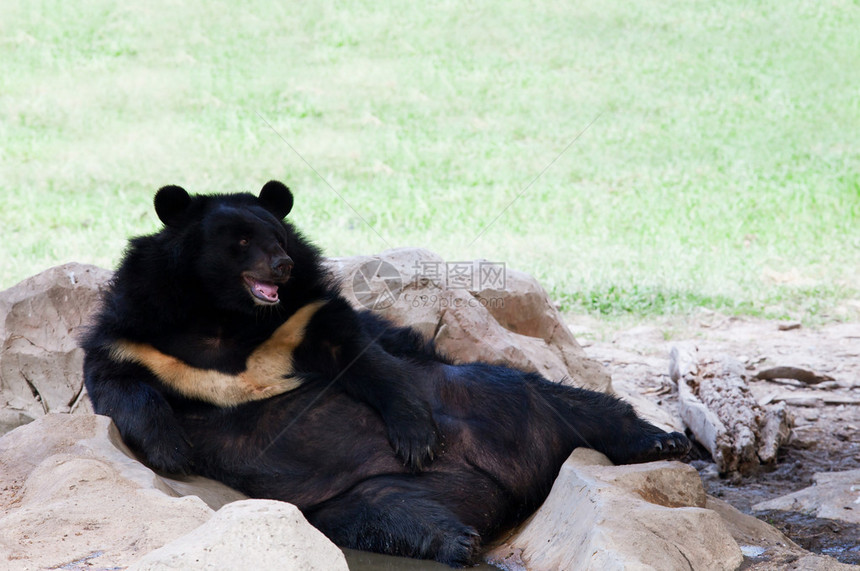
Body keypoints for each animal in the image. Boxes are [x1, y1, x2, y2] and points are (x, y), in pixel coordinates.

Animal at [82, 182, 692, 568]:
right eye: (240, 242)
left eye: (278, 238)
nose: (280, 265)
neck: (225, 316)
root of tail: (504, 482)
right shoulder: (142, 333)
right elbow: (120, 383)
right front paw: (172, 451)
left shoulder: (302, 317)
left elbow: (365, 353)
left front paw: (416, 437)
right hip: (361, 493)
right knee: (395, 518)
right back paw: (458, 542)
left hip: (489, 394)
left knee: (575, 405)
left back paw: (664, 440)